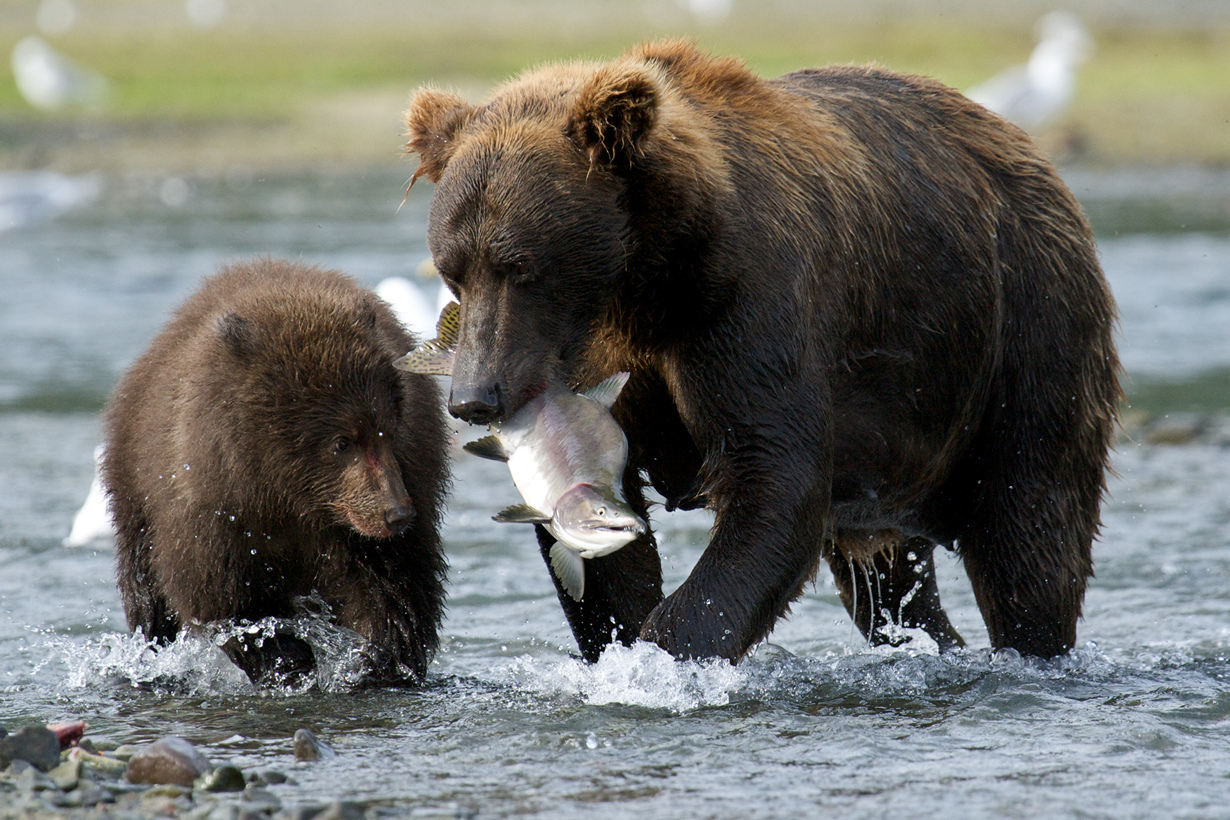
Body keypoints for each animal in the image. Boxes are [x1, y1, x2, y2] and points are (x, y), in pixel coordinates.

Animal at [100, 258, 447, 688]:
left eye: (387, 429)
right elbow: (225, 600)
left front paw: (373, 661)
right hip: (134, 487)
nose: (396, 513)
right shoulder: (215, 507)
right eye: (341, 442)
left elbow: (393, 592)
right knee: (145, 588)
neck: (288, 495)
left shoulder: (381, 508)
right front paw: (288, 661)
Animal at [405, 41, 1126, 663]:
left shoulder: (748, 303)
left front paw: (667, 647)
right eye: (454, 270)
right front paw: (621, 638)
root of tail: (1027, 149)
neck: (644, 281)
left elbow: (773, 479)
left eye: (520, 266)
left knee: (1030, 529)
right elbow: (615, 547)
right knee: (891, 588)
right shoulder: (607, 362)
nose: (475, 397)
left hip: (1023, 324)